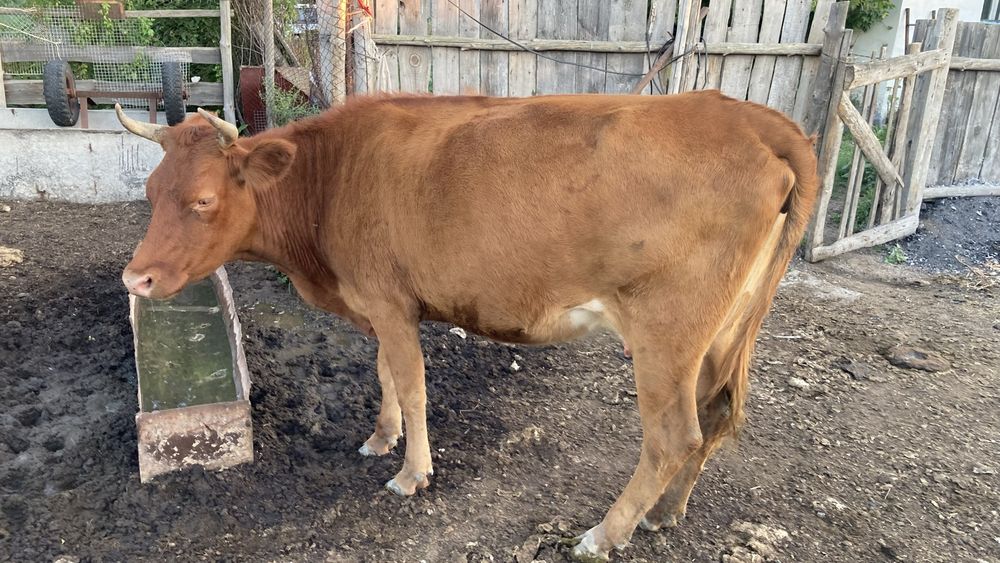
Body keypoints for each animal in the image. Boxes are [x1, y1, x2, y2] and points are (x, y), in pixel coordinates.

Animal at [116, 90, 818, 561]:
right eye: (149, 190)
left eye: (203, 199)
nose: (135, 279)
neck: (331, 179)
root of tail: (749, 116)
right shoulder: (382, 306)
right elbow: (386, 377)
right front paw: (381, 439)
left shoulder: (388, 301)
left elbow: (412, 386)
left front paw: (411, 473)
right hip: (723, 330)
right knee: (715, 418)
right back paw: (664, 516)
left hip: (666, 332)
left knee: (674, 436)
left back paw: (602, 533)